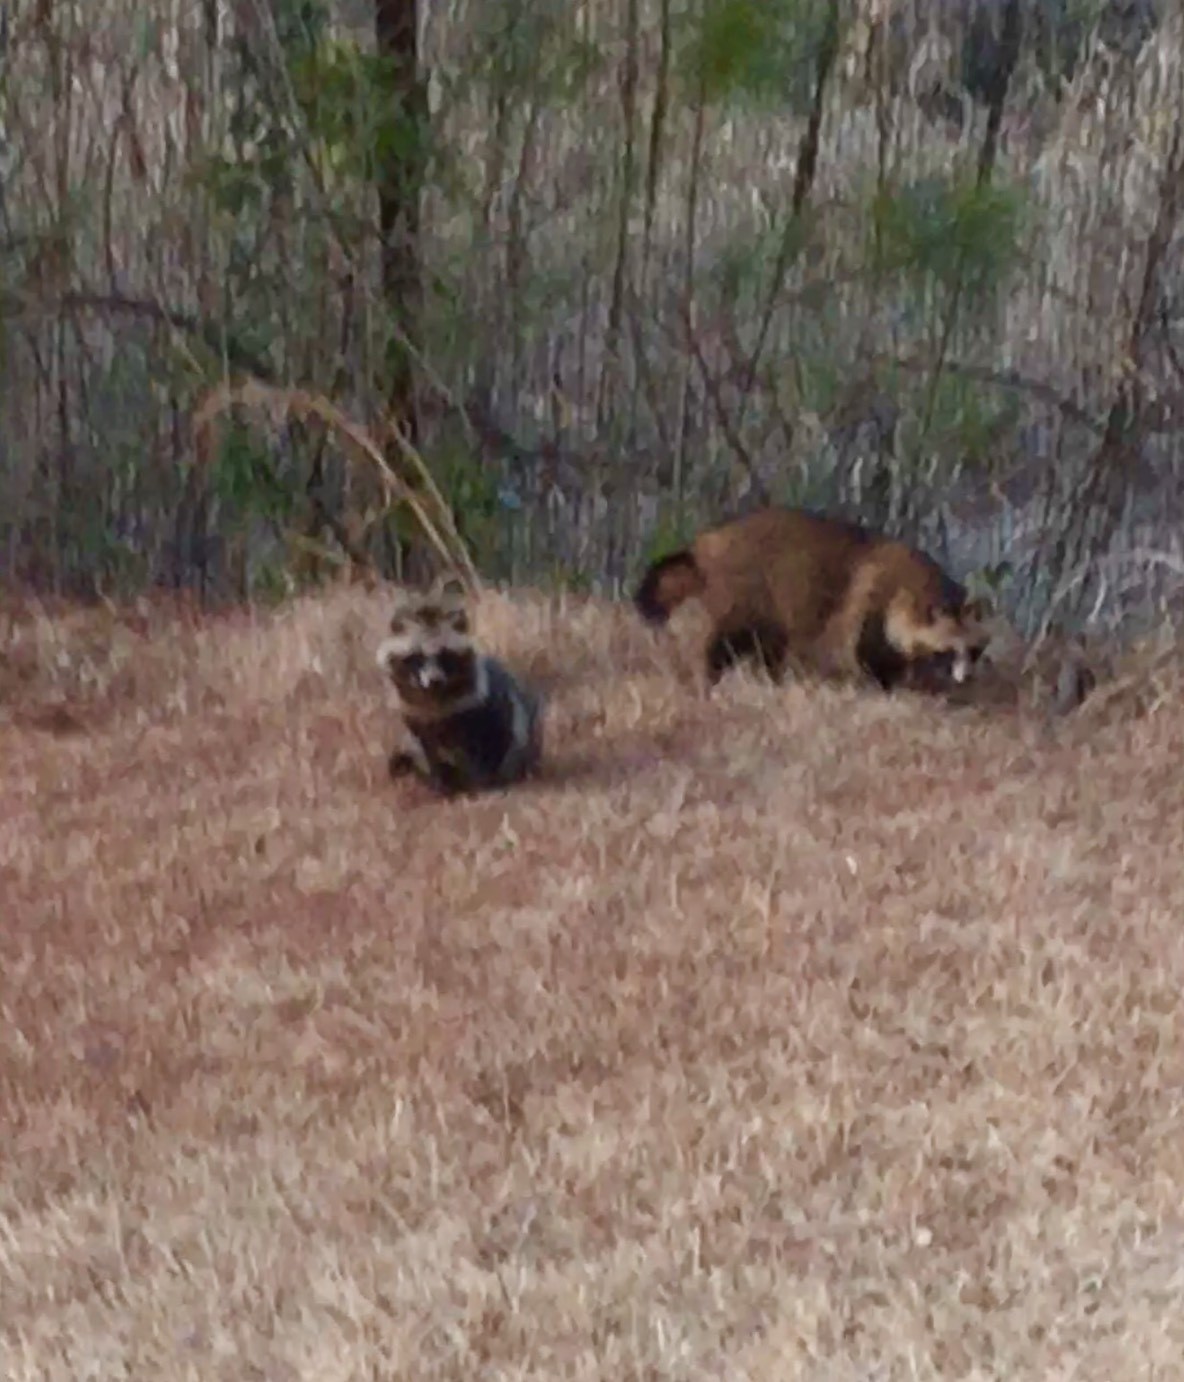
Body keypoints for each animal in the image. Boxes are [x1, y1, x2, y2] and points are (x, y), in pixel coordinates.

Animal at [373, 574, 544, 801]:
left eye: (445, 656)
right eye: (417, 658)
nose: (434, 681)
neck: (434, 699)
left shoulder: (480, 706)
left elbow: (490, 741)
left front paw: (481, 784)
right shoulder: (415, 715)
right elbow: (429, 751)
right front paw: (440, 784)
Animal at [632, 508, 994, 696]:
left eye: (974, 650)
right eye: (948, 651)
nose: (967, 678)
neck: (925, 589)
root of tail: (704, 545)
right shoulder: (868, 601)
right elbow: (858, 651)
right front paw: (879, 685)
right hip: (736, 594)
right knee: (716, 642)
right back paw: (706, 676)